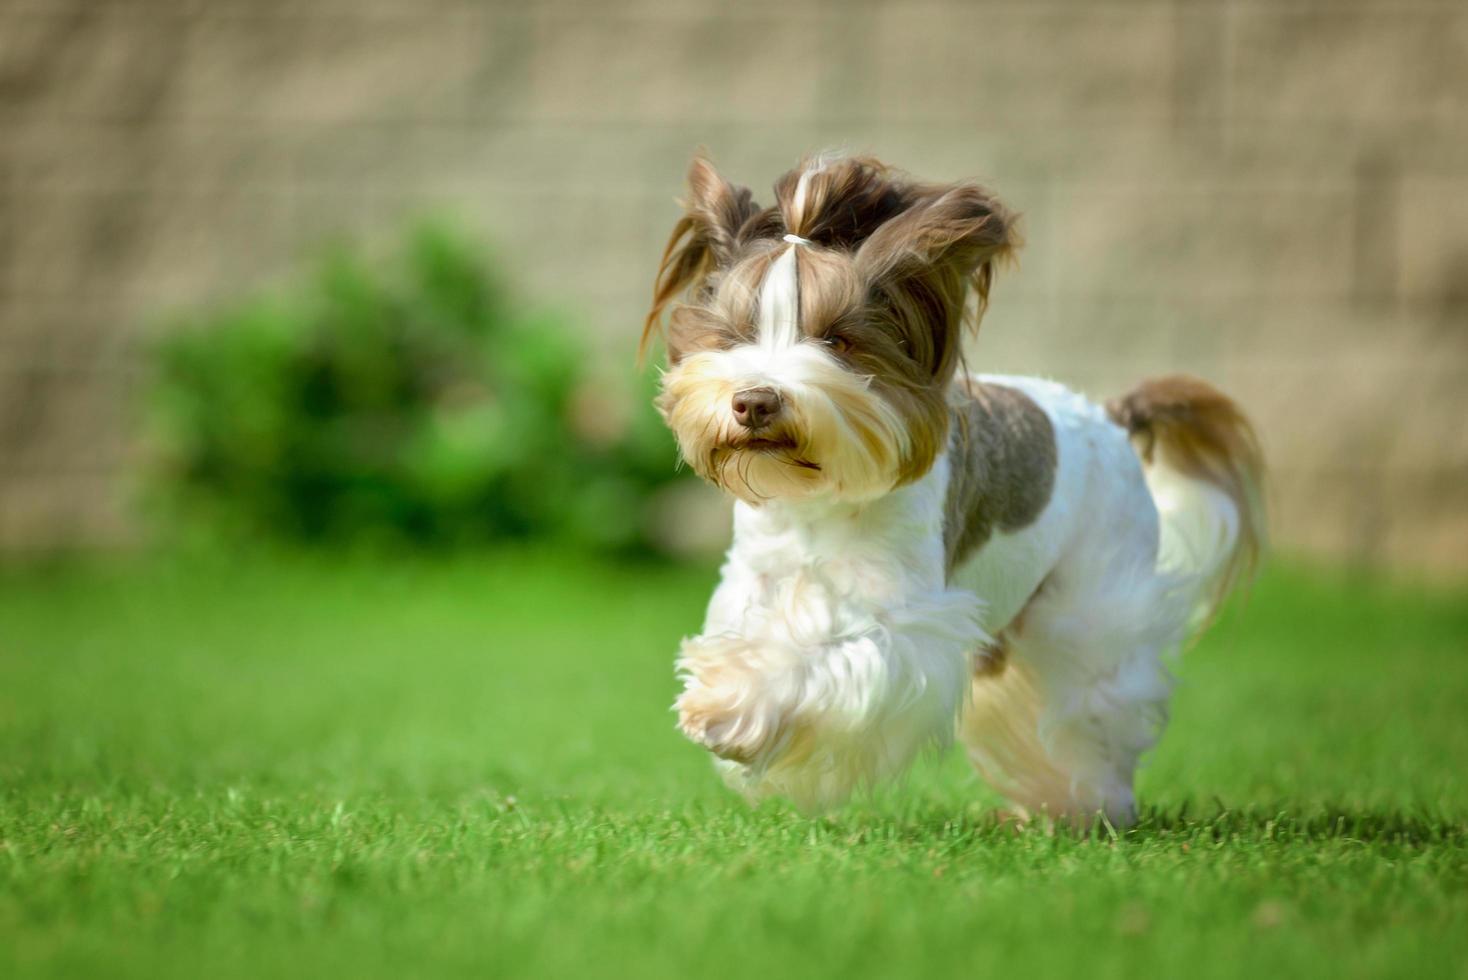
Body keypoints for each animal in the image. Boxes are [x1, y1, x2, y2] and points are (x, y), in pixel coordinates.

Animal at [642, 154, 1262, 827]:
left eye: (836, 340)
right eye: (735, 336)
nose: (755, 400)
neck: (819, 499)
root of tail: (1111, 414)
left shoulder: (905, 621)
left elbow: (823, 655)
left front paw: (729, 709)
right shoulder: (755, 579)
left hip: (1094, 598)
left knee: (1095, 695)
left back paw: (1093, 806)